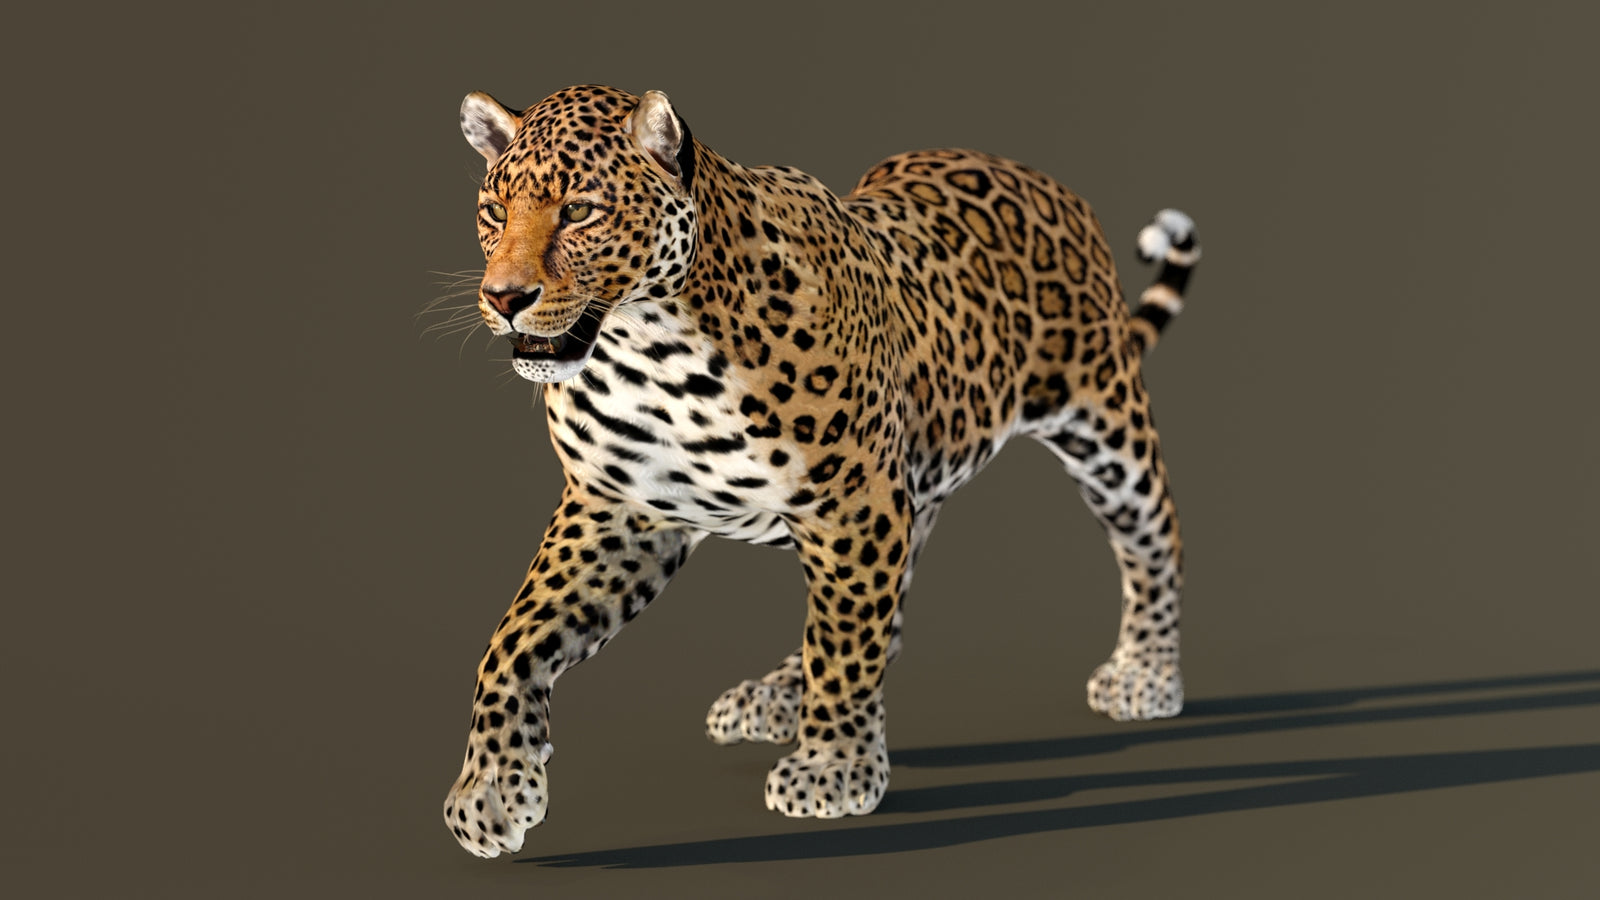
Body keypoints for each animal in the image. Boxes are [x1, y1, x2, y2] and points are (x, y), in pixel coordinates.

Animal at [441, 84, 1201, 858]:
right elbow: (515, 638)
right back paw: (777, 693)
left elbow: (843, 645)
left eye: (581, 211)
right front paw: (490, 792)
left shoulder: (853, 503)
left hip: (1104, 421)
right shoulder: (618, 508)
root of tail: (1039, 176)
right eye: (495, 211)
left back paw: (1146, 674)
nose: (505, 298)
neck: (650, 348)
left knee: (1153, 540)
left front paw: (831, 769)